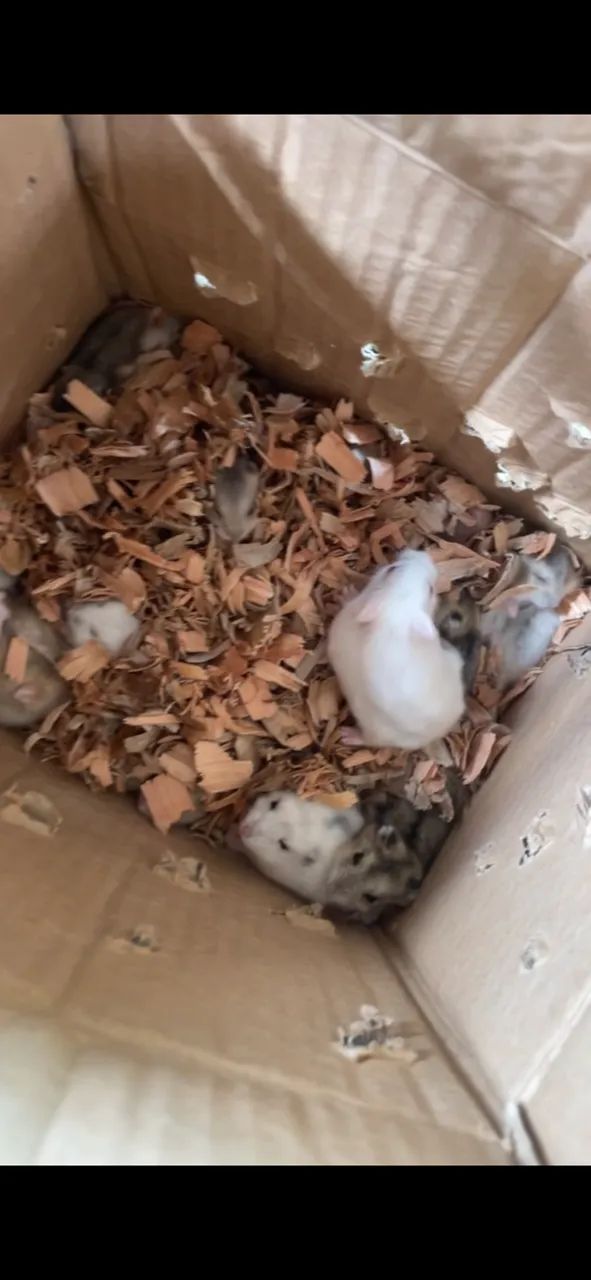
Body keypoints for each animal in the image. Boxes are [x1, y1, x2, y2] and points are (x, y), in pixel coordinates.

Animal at [327, 549, 465, 750]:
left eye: (431, 589)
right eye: (392, 568)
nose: (422, 553)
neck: (395, 617)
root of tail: (439, 732)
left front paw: (346, 592)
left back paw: (346, 735)